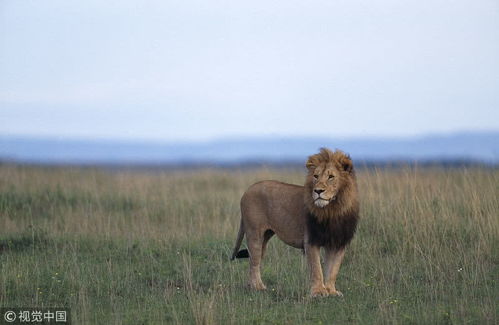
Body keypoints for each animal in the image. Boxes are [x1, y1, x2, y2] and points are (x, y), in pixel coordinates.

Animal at [230, 147, 360, 296]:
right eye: (316, 176)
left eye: (331, 177)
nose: (318, 191)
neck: (333, 210)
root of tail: (247, 190)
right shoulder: (311, 239)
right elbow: (316, 268)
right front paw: (319, 292)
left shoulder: (338, 242)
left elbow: (333, 269)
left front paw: (331, 291)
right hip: (254, 233)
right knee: (254, 262)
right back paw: (258, 287)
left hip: (265, 237)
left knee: (254, 260)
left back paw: (251, 286)